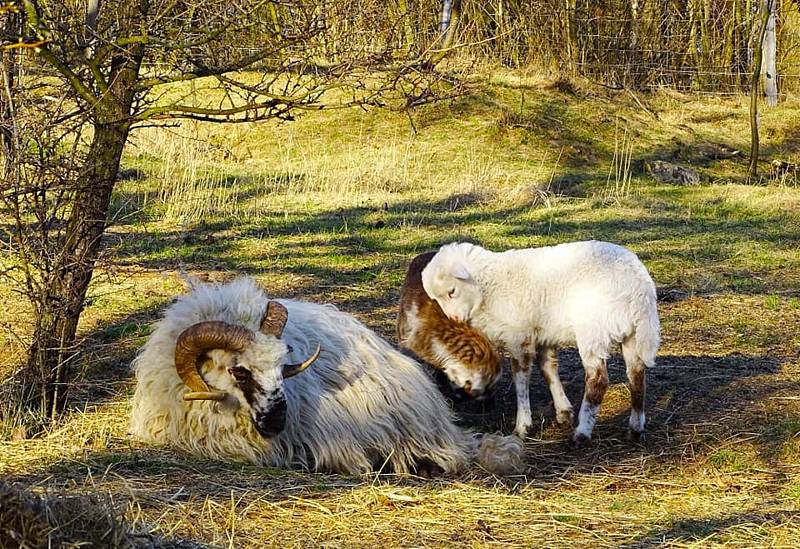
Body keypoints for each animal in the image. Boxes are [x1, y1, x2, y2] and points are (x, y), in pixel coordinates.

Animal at [422, 241, 660, 446]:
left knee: (598, 380)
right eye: (437, 299)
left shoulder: (518, 336)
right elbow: (548, 370)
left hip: (593, 329)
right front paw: (563, 412)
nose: (454, 319)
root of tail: (640, 286)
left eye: (452, 291)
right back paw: (635, 429)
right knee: (637, 375)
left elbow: (520, 379)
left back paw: (582, 433)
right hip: (632, 333)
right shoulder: (544, 334)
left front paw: (523, 426)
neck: (489, 286)